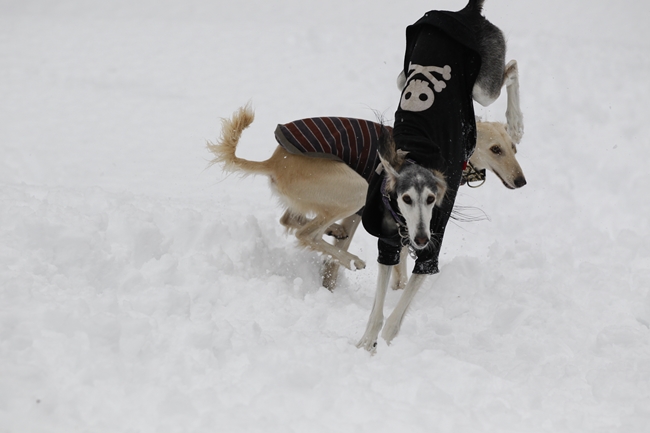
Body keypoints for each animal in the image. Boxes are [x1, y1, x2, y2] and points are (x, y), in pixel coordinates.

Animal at [354, 0, 520, 352]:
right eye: (405, 198)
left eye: (431, 199)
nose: (419, 239)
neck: (416, 156)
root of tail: (465, 11)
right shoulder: (388, 242)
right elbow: (378, 308)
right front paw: (366, 342)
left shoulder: (432, 245)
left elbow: (396, 315)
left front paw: (386, 342)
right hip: (403, 74)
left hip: (484, 85)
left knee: (511, 70)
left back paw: (516, 122)